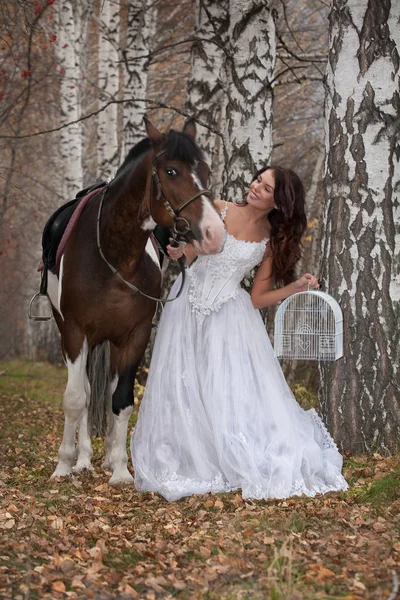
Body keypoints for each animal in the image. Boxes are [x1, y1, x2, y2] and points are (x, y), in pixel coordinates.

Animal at [45, 119, 225, 486]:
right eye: (171, 171)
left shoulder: (135, 335)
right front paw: (64, 464)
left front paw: (119, 467)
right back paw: (82, 459)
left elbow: (122, 400)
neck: (115, 258)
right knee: (85, 392)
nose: (214, 233)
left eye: (205, 170)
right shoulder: (74, 333)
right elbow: (75, 399)